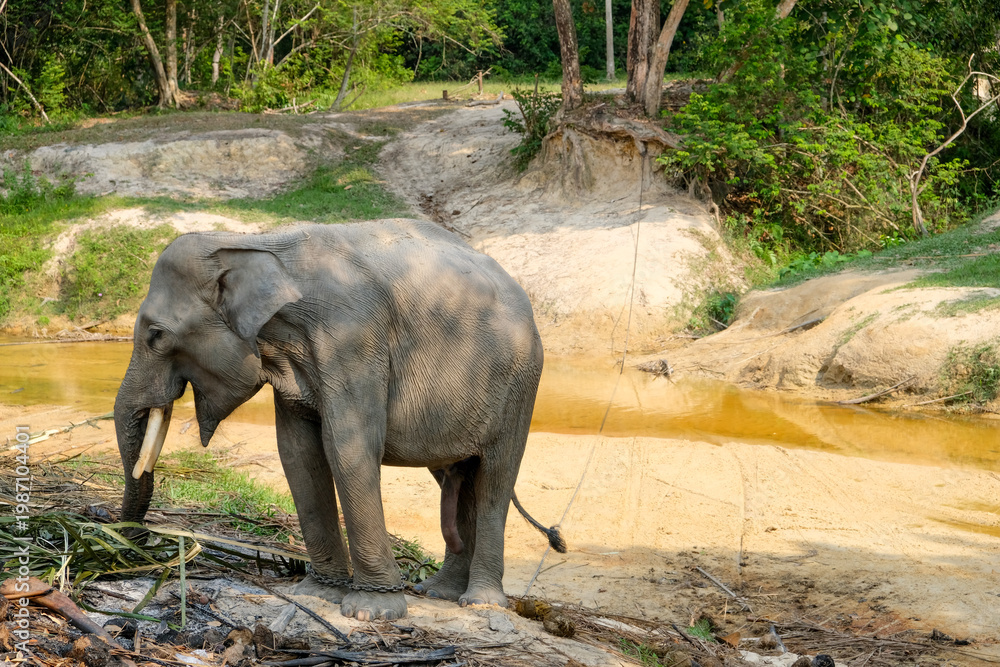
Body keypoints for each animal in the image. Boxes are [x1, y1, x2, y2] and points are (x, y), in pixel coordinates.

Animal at [114, 218, 565, 622]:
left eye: (156, 335)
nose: (133, 540)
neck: (256, 243)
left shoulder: (354, 340)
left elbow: (347, 449)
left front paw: (372, 610)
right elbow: (298, 455)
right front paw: (317, 593)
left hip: (521, 386)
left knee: (494, 478)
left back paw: (481, 603)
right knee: (457, 478)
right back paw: (439, 592)